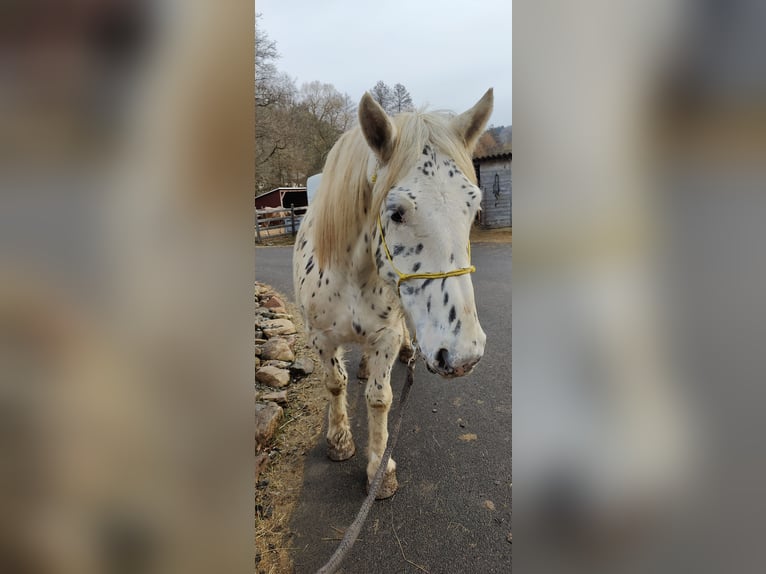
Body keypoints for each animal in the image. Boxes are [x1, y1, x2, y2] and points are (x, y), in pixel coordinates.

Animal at [292, 89, 496, 500]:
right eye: (396, 212)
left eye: (474, 205)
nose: (463, 356)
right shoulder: (320, 338)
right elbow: (334, 383)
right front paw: (339, 440)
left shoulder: (384, 335)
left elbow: (379, 397)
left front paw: (379, 468)